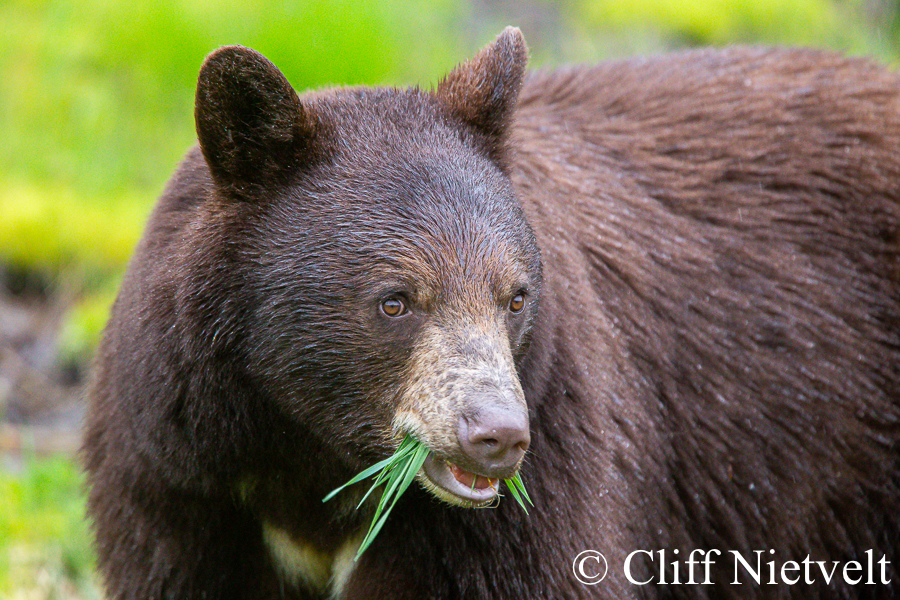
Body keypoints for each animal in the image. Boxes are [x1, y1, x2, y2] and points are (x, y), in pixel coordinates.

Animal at [84, 25, 900, 596]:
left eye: (515, 296)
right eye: (395, 300)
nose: (497, 436)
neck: (309, 463)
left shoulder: (547, 458)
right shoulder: (181, 481)